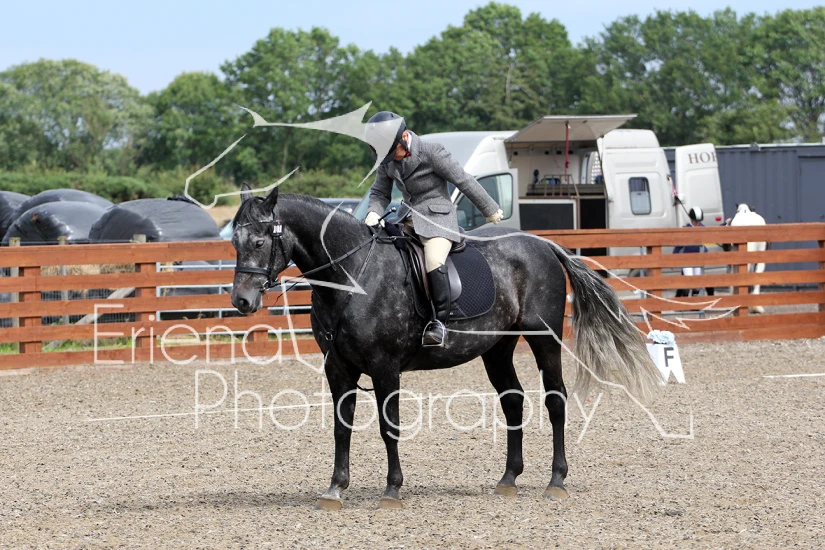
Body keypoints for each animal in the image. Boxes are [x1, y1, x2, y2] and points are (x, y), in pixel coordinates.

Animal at [230, 183, 660, 510]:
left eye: (259, 240)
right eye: (234, 241)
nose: (242, 301)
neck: (352, 274)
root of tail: (542, 245)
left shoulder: (385, 367)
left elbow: (389, 426)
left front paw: (392, 489)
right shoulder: (338, 369)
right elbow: (341, 426)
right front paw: (335, 488)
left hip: (543, 339)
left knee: (555, 399)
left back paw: (556, 480)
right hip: (496, 348)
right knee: (513, 400)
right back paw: (508, 478)